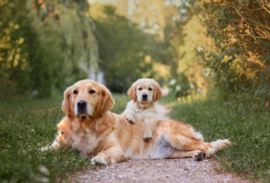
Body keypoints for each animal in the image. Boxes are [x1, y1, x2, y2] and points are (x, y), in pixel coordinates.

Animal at [43, 79, 231, 165]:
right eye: (75, 92)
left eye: (92, 91)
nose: (81, 104)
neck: (85, 127)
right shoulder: (59, 143)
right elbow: (47, 149)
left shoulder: (116, 149)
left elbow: (103, 153)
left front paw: (98, 159)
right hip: (170, 152)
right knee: (197, 149)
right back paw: (198, 155)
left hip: (177, 138)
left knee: (208, 145)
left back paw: (208, 151)